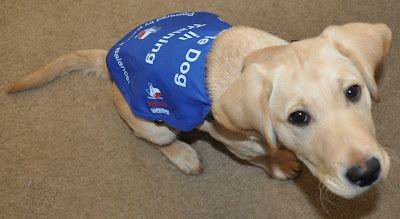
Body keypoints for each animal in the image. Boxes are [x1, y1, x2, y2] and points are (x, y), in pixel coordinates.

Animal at [7, 17, 392, 198]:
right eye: (298, 117)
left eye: (354, 91)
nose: (367, 173)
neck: (250, 58)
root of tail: (110, 63)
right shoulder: (235, 141)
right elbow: (261, 157)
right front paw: (279, 163)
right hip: (152, 125)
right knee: (157, 141)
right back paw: (183, 154)